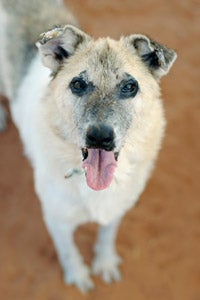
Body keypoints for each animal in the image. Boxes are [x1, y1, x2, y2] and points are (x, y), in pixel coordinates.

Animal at [0, 0, 177, 292]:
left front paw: (104, 263)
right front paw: (78, 275)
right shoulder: (57, 219)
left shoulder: (118, 207)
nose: (100, 137)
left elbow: (106, 235)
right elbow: (69, 252)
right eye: (77, 84)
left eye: (130, 86)